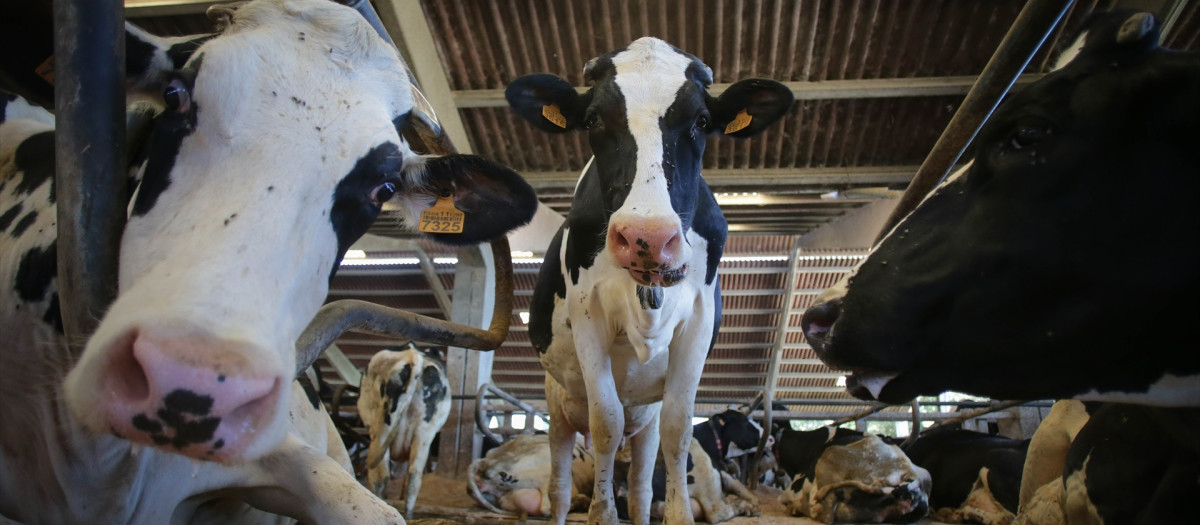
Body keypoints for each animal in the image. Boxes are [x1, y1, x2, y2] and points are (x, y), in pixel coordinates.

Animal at [358, 345, 452, 517]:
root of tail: (413, 355)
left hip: (380, 429)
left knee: (381, 475)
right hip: (424, 434)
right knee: (414, 475)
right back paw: (408, 515)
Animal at [506, 37, 792, 525]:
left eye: (701, 120)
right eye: (593, 118)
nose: (648, 237)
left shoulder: (697, 323)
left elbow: (680, 429)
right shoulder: (588, 316)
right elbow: (606, 421)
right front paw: (602, 514)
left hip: (644, 425)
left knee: (639, 489)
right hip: (557, 409)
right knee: (560, 489)